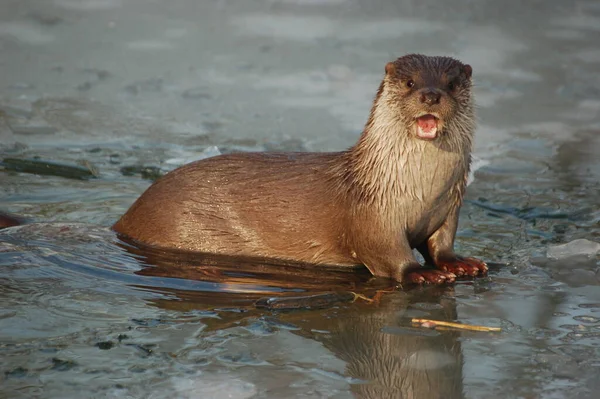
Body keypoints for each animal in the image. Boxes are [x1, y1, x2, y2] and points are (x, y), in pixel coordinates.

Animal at [112, 54, 488, 284]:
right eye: (410, 82)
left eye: (452, 83)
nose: (430, 95)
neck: (419, 192)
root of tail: (124, 218)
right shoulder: (371, 215)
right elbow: (386, 253)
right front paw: (420, 273)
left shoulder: (449, 207)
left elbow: (441, 243)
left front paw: (460, 263)